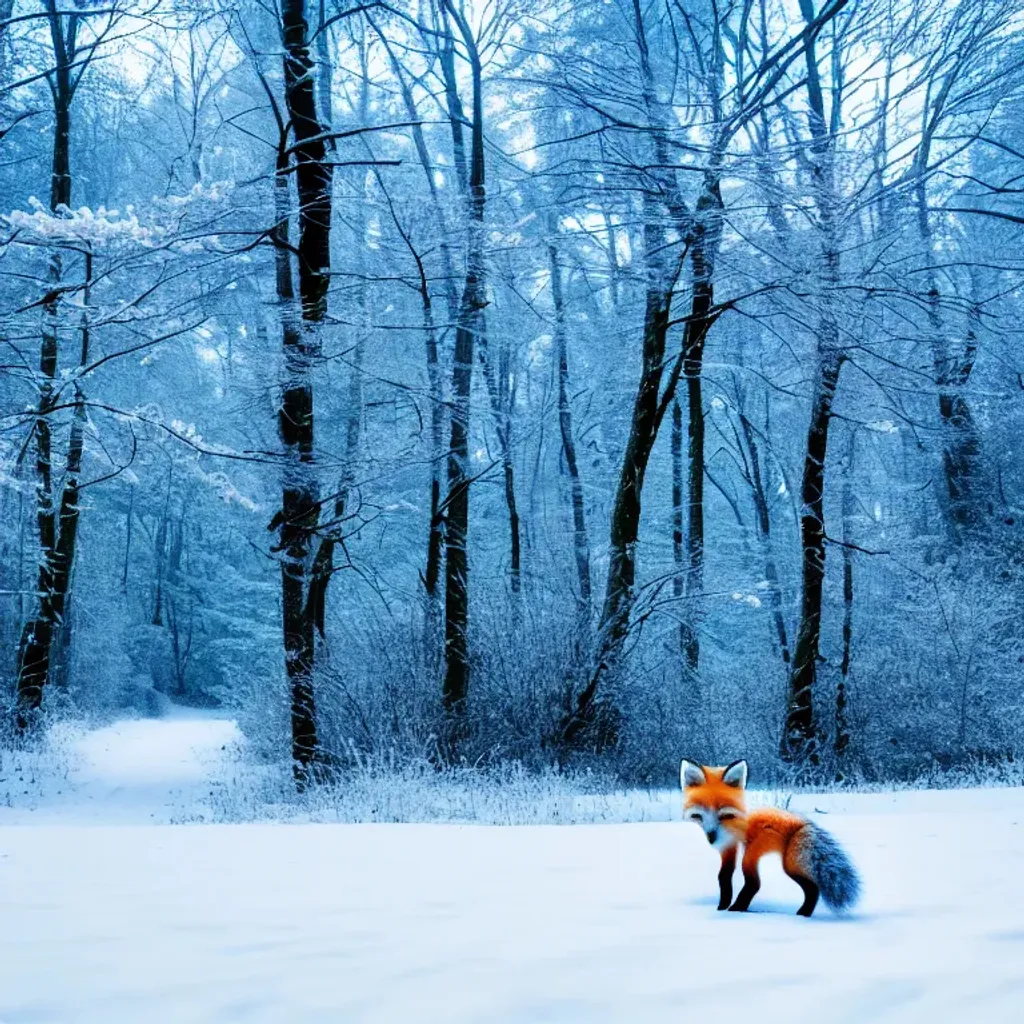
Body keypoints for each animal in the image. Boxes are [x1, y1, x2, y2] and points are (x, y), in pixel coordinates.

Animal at [684, 757, 860, 917]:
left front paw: (724, 908)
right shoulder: (728, 848)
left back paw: (738, 909)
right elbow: (724, 877)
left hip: (766, 857)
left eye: (725, 815)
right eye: (699, 814)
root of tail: (798, 823)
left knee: (755, 884)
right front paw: (722, 906)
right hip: (790, 863)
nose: (711, 838)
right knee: (812, 888)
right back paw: (802, 914)